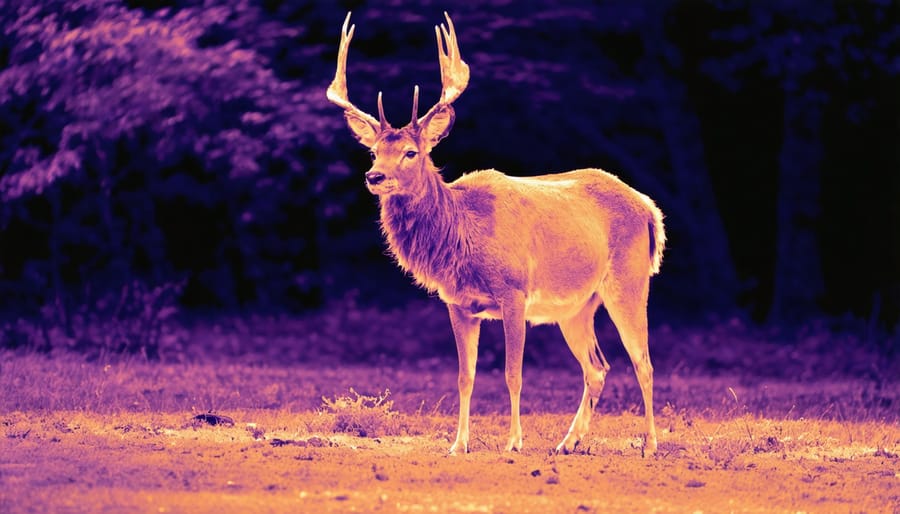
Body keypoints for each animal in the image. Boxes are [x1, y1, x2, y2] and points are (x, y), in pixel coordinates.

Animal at [326, 12, 665, 456]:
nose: (374, 176)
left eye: (411, 152)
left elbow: (512, 373)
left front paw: (514, 442)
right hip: (576, 306)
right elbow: (465, 377)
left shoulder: (514, 290)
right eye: (373, 151)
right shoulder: (457, 303)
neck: (462, 233)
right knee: (597, 366)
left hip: (629, 280)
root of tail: (648, 208)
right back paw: (567, 442)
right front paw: (458, 444)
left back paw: (649, 445)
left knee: (643, 361)